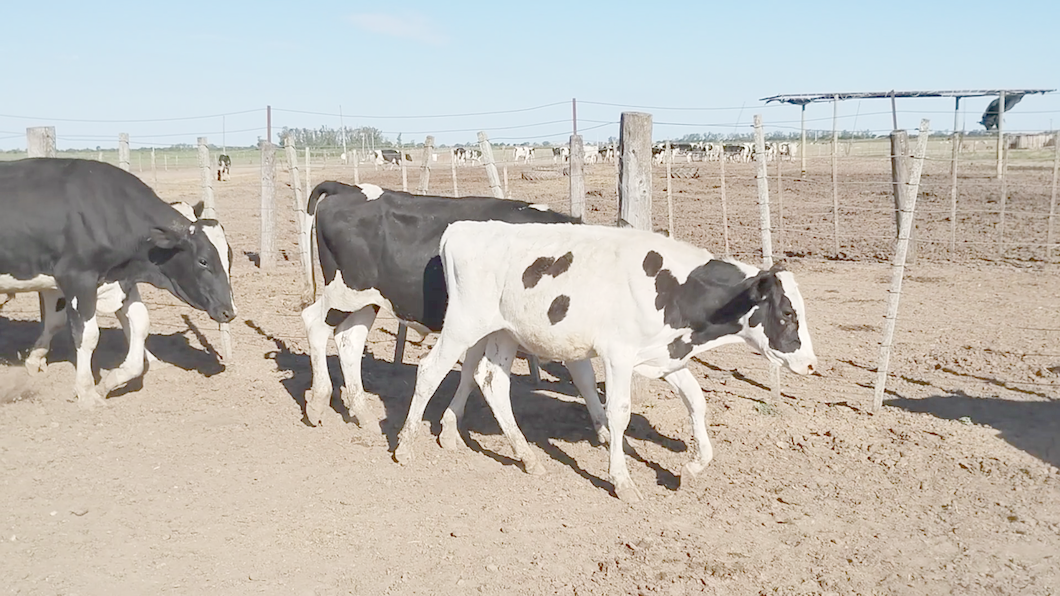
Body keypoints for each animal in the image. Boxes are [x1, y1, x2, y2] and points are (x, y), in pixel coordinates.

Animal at [0, 158, 236, 407]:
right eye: (203, 261)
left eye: (229, 256)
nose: (229, 311)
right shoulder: (76, 278)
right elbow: (87, 335)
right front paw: (87, 392)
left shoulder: (121, 280)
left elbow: (139, 324)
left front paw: (111, 381)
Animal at [303, 181, 610, 430]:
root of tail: (346, 188)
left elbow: (583, 377)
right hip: (342, 293)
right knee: (314, 324)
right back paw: (317, 402)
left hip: (366, 300)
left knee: (349, 342)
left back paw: (363, 414)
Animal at [398, 220, 818, 498]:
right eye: (787, 313)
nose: (812, 363)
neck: (671, 286)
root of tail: (463, 228)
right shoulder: (619, 355)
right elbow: (619, 412)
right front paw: (623, 481)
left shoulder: (666, 354)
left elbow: (696, 401)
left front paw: (692, 466)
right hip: (463, 324)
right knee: (431, 371)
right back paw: (404, 446)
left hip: (503, 332)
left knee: (491, 381)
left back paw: (527, 457)